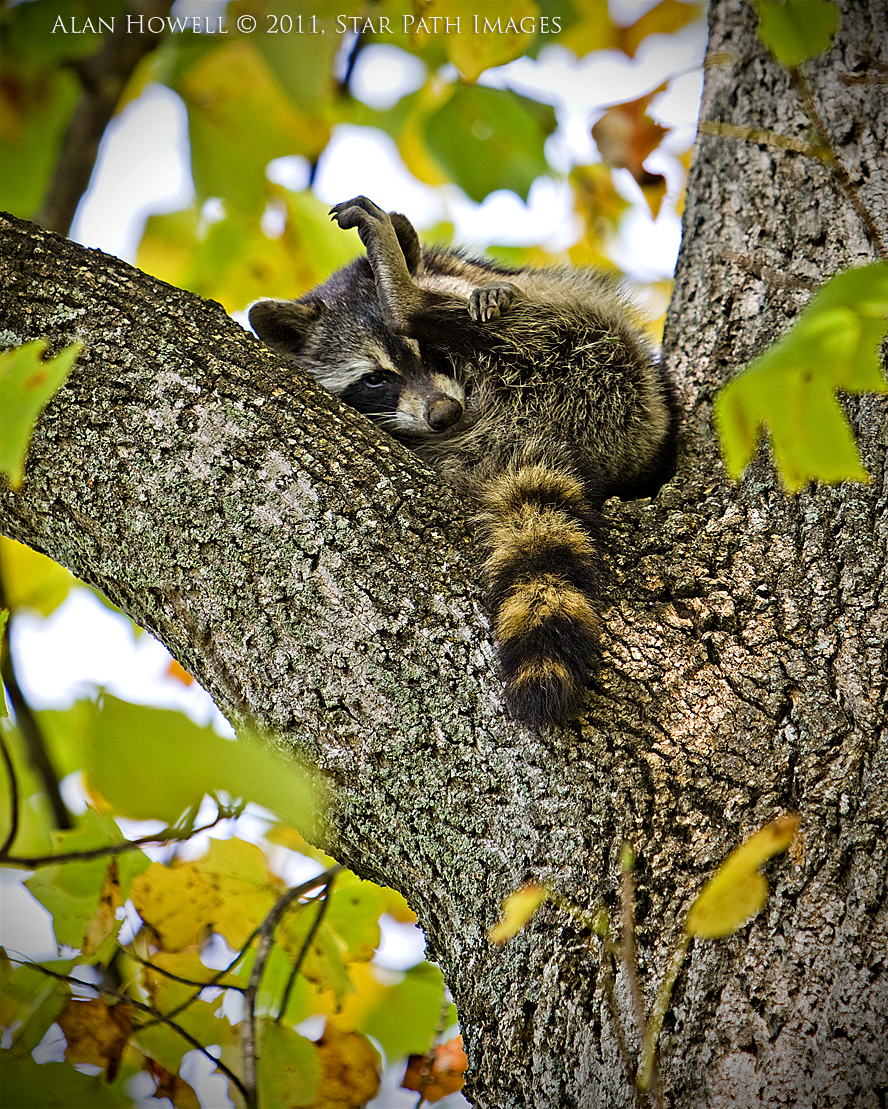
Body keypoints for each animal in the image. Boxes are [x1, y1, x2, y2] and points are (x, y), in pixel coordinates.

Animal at [249, 195, 678, 728]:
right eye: (374, 379)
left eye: (429, 353)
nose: (444, 414)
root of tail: (522, 429)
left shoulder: (468, 272)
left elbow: (499, 288)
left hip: (611, 364)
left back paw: (410, 298)